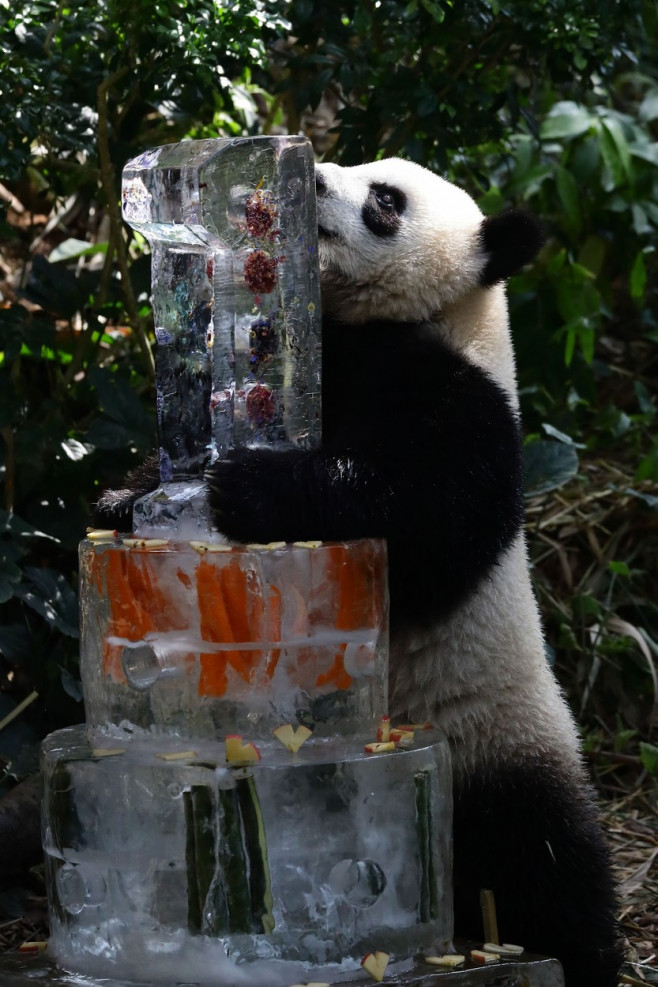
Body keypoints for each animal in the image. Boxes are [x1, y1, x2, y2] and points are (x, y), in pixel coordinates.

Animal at [95, 158, 616, 984]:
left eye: (385, 199)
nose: (307, 176)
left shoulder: (465, 409)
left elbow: (417, 519)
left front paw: (249, 488)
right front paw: (127, 498)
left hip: (495, 747)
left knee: (549, 871)